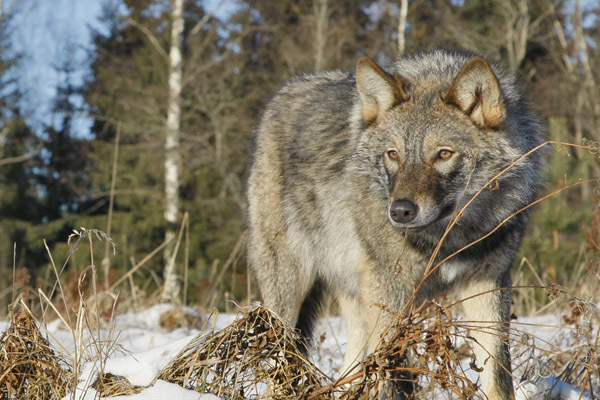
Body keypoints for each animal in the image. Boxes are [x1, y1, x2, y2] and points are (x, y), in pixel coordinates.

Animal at [246, 48, 548, 398]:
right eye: (393, 154)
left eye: (443, 154)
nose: (400, 211)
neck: (448, 239)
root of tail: (285, 91)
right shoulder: (391, 296)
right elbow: (392, 374)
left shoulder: (489, 284)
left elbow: (498, 379)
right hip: (290, 293)